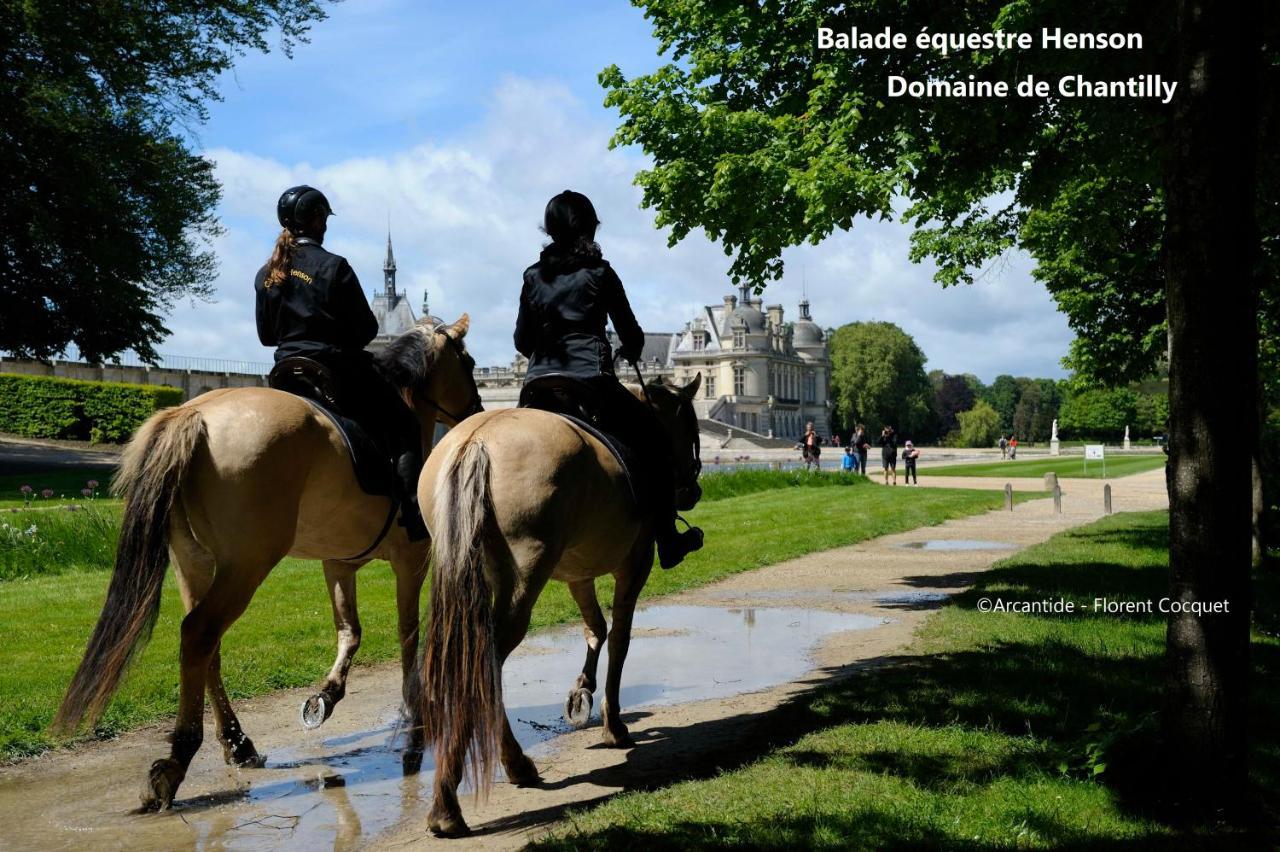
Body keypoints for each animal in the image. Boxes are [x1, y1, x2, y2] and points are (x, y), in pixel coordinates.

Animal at [51, 314, 483, 808]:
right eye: (469, 362)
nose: (476, 410)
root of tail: (193, 411)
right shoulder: (410, 558)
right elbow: (407, 633)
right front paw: (415, 712)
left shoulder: (337, 564)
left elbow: (350, 632)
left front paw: (326, 696)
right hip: (246, 564)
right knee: (199, 634)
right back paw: (179, 760)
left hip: (193, 564)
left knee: (206, 648)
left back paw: (237, 744)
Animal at [417, 373, 701, 834]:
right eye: (690, 430)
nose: (692, 489)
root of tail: (476, 439)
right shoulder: (635, 563)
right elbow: (620, 638)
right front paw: (613, 723)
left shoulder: (577, 573)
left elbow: (595, 628)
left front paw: (581, 691)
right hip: (525, 577)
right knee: (487, 662)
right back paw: (454, 800)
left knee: (475, 663)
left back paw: (505, 769)